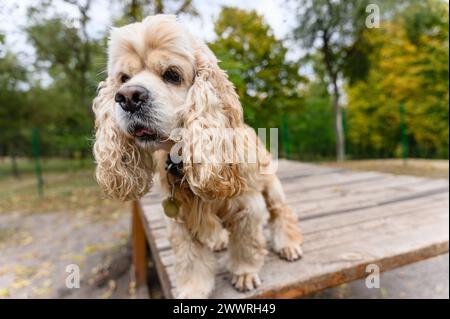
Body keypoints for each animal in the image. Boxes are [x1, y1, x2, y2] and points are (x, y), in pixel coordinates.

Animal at [92, 15, 302, 300]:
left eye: (172, 74)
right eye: (124, 78)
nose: (127, 97)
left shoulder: (247, 206)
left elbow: (246, 244)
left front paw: (244, 273)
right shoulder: (179, 219)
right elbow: (189, 259)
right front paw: (193, 290)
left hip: (272, 187)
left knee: (282, 212)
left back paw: (288, 244)